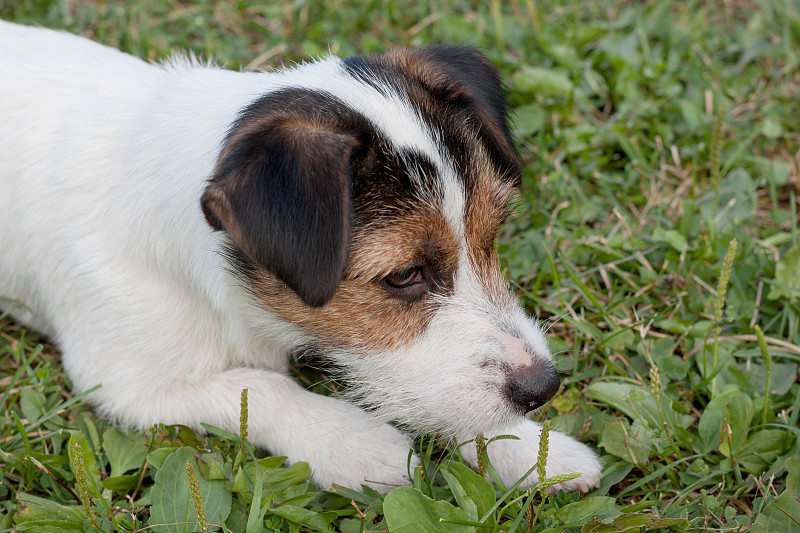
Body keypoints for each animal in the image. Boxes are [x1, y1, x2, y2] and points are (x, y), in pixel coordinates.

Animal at [0, 21, 600, 494]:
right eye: (404, 275)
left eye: (491, 237)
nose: (542, 389)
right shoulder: (129, 383)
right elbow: (261, 388)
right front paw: (359, 444)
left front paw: (532, 452)